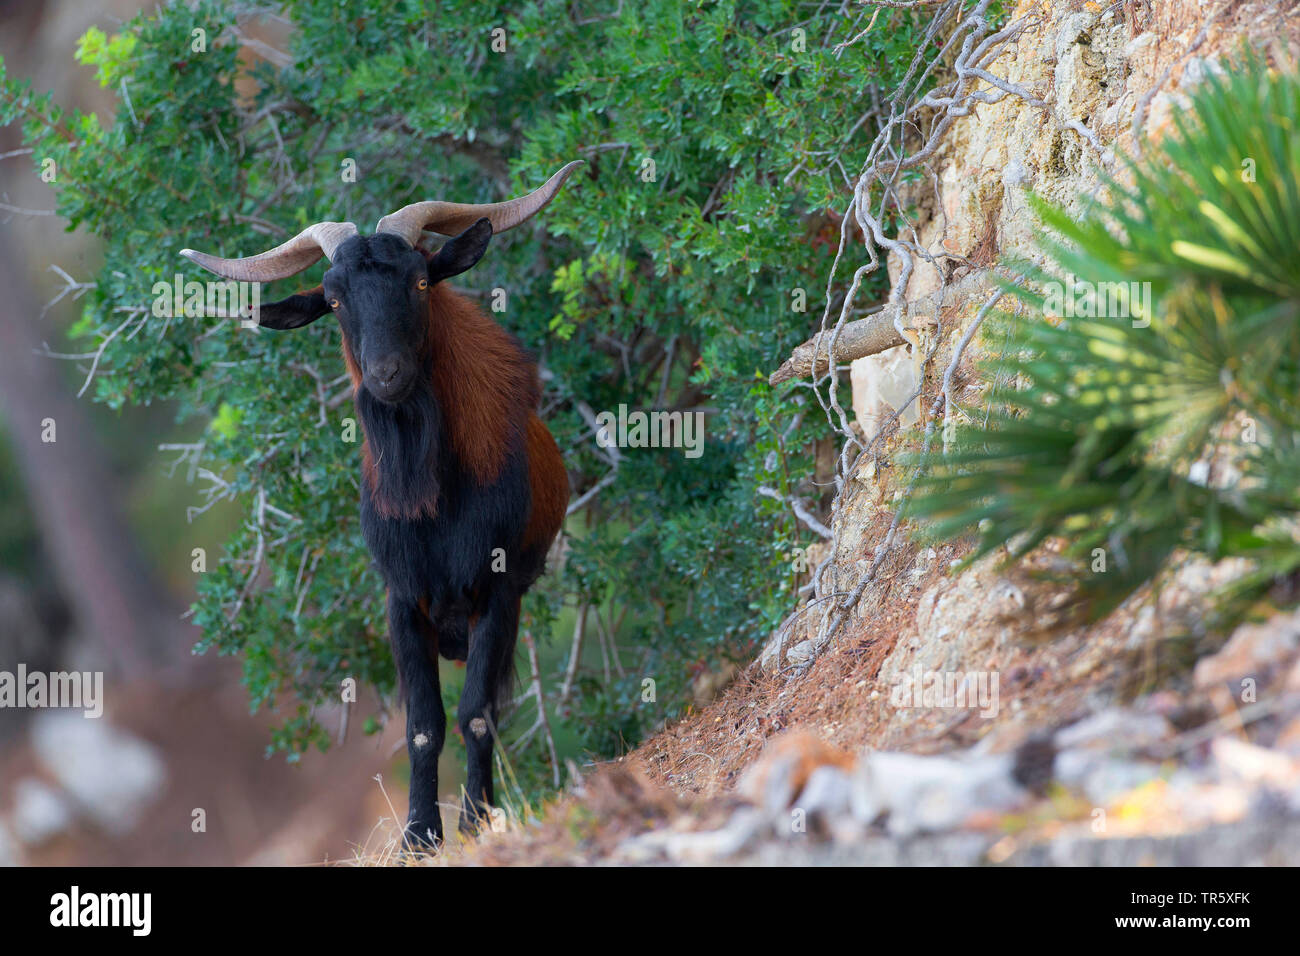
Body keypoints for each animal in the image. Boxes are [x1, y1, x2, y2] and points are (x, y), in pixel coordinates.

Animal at [181, 162, 580, 847]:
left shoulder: (497, 591)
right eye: (335, 298)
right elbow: (423, 725)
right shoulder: (402, 598)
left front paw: (474, 820)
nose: (386, 375)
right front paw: (419, 837)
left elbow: (476, 715)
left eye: (420, 280)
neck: (435, 501)